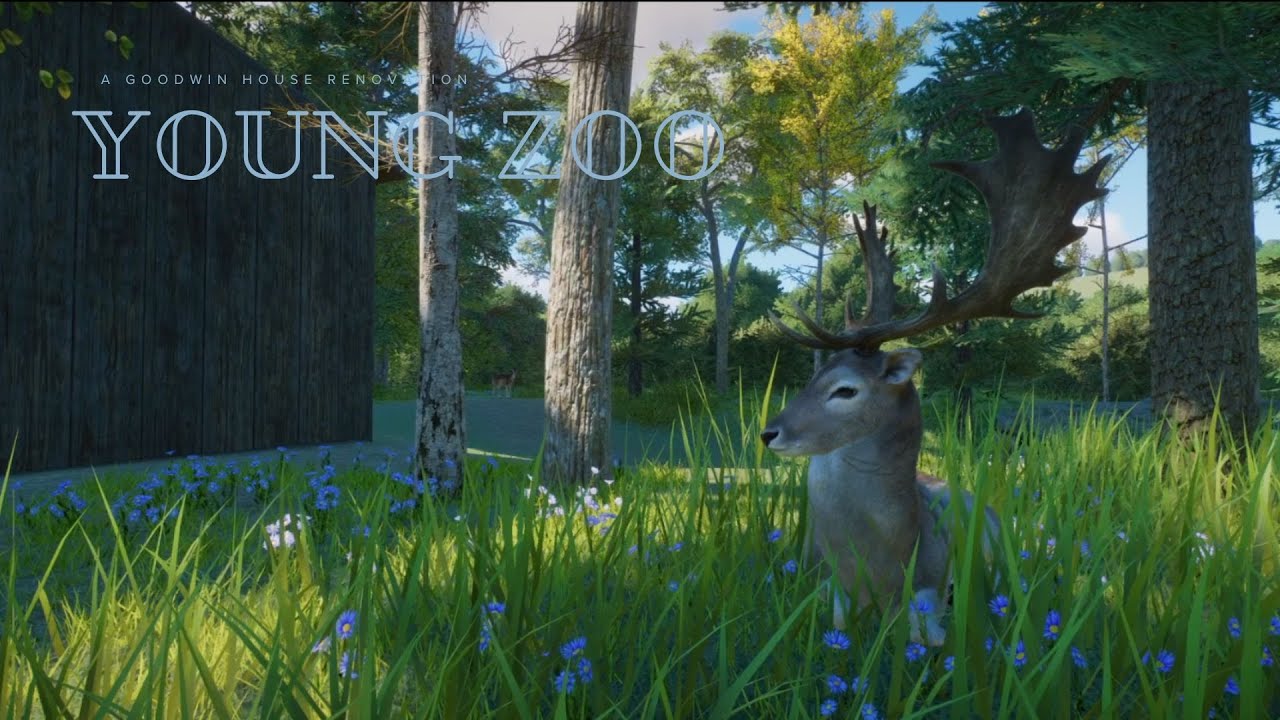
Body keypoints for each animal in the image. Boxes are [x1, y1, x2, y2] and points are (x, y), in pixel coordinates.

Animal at [760, 109, 1109, 647]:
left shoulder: (933, 583)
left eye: (846, 389)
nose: (770, 432)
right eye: (812, 377)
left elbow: (931, 634)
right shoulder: (817, 584)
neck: (881, 566)